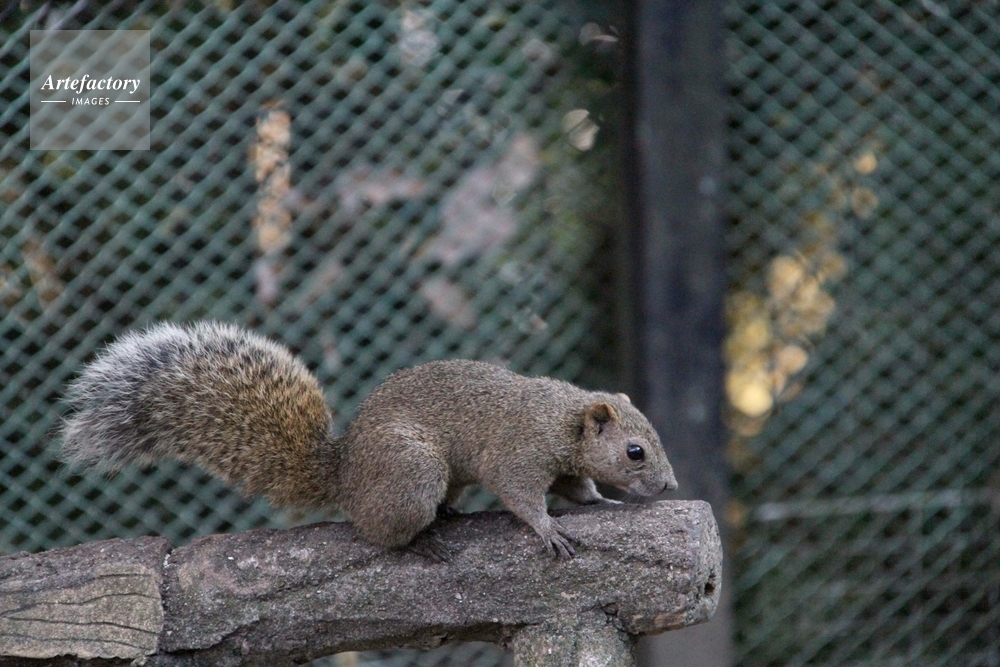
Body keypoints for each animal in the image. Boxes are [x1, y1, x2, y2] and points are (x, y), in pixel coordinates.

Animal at [61, 321, 677, 559]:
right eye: (635, 451)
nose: (670, 485)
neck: (563, 417)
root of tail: (346, 473)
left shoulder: (568, 463)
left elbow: (576, 488)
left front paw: (599, 503)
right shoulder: (519, 452)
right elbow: (522, 496)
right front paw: (548, 529)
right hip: (411, 471)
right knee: (378, 530)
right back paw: (420, 542)